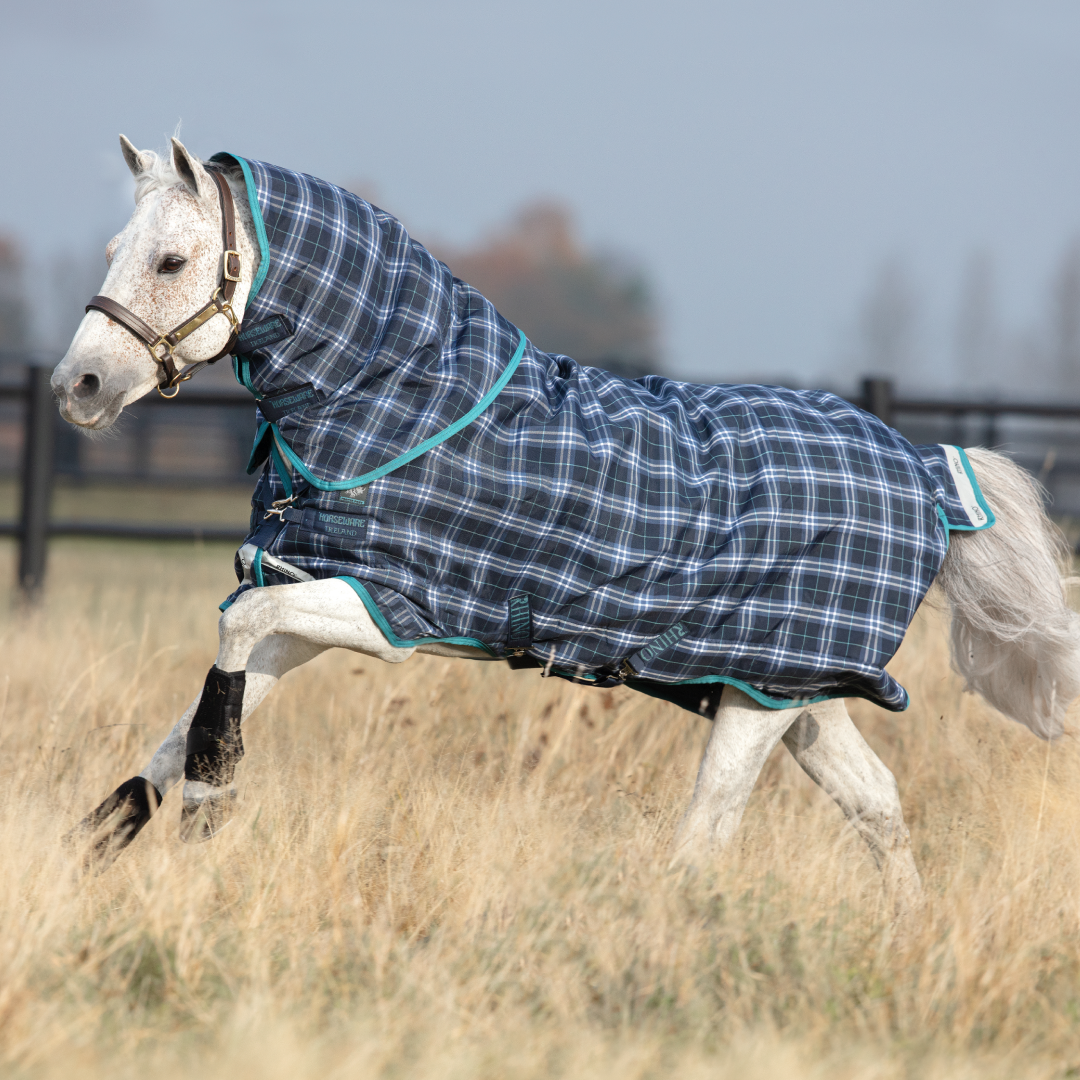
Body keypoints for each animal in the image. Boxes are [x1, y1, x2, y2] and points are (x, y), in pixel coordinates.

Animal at [51, 136, 1080, 916]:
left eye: (171, 261)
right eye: (111, 250)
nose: (78, 387)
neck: (404, 403)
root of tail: (926, 468)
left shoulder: (385, 611)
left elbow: (229, 649)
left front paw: (212, 808)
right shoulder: (310, 595)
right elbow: (185, 718)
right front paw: (83, 855)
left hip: (763, 698)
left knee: (707, 836)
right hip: (791, 691)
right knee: (876, 806)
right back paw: (906, 931)